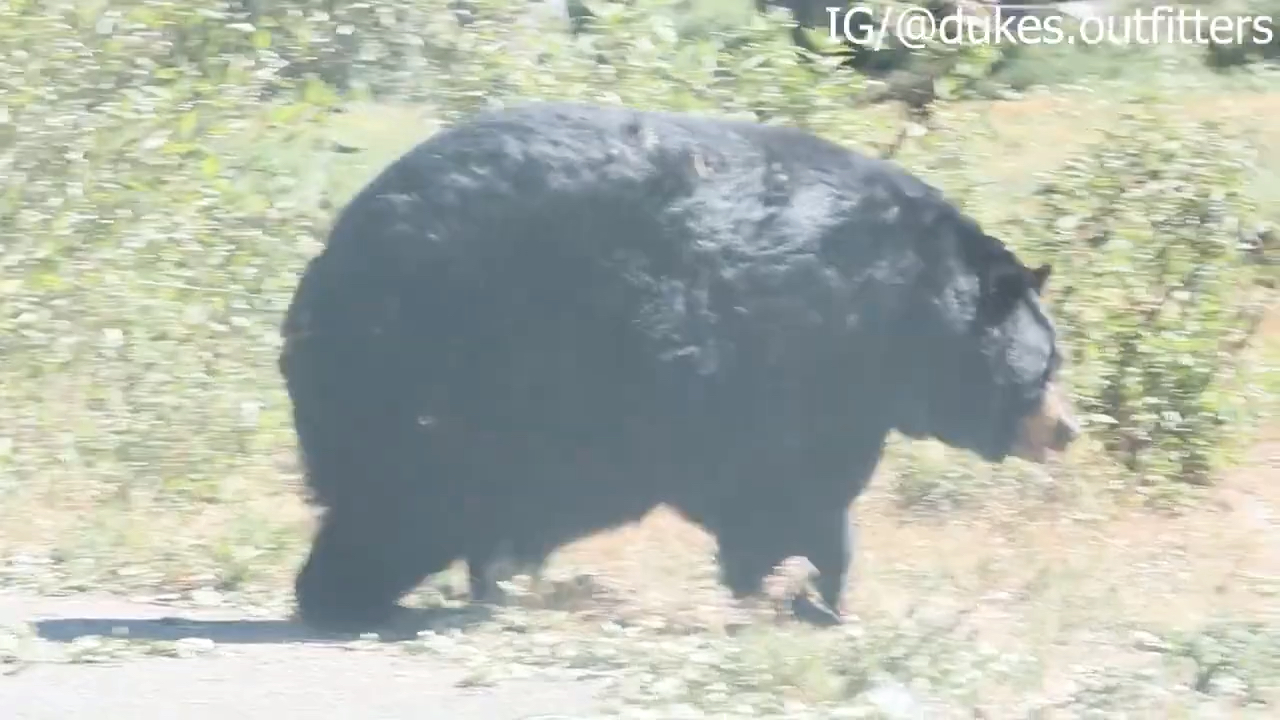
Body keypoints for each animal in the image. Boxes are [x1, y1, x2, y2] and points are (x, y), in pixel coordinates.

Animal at [282, 101, 1080, 627]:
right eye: (1046, 366)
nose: (1067, 428)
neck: (909, 308)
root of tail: (319, 277)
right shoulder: (804, 360)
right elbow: (794, 489)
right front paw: (814, 596)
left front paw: (795, 591)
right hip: (448, 369)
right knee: (409, 502)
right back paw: (354, 597)